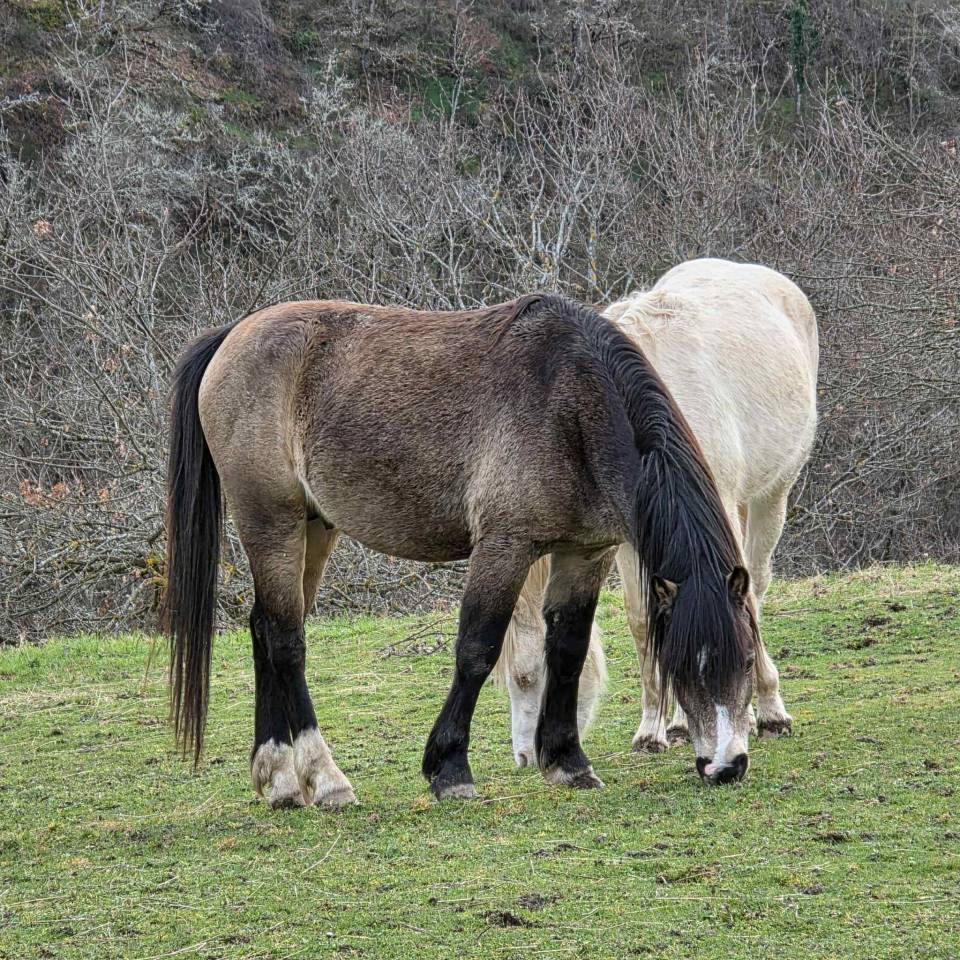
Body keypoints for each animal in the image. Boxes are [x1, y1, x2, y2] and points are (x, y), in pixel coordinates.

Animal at [164, 293, 758, 810]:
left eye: (748, 658)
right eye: (682, 662)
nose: (727, 766)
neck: (573, 403)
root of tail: (233, 336)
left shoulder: (587, 553)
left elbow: (567, 649)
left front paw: (567, 761)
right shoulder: (505, 546)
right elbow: (477, 649)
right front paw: (449, 769)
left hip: (313, 527)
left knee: (266, 629)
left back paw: (279, 780)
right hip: (272, 523)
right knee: (287, 641)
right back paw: (327, 780)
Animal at [493, 259, 818, 765]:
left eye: (528, 677)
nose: (527, 759)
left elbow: (737, 602)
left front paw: (759, 710)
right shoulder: (628, 538)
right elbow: (644, 620)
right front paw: (655, 728)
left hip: (772, 494)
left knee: (758, 583)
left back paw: (764, 709)